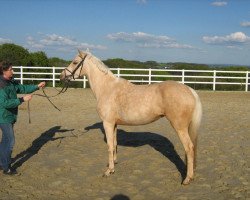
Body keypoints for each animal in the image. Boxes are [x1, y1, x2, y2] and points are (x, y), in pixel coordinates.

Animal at [60, 50, 201, 184]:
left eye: (74, 62)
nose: (62, 76)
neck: (107, 88)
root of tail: (190, 90)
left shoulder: (107, 123)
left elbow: (109, 146)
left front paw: (109, 171)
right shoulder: (114, 124)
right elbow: (114, 144)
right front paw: (114, 164)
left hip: (180, 127)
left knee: (189, 148)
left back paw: (187, 179)